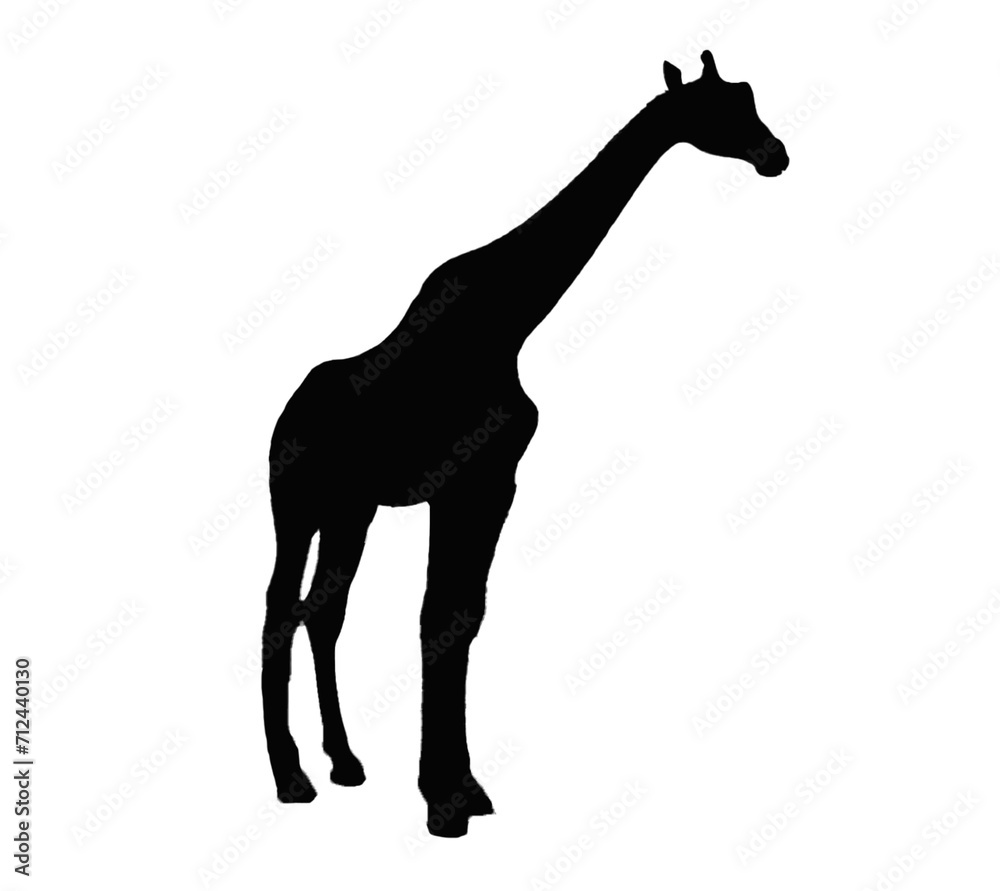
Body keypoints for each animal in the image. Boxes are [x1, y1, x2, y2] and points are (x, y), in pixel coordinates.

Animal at [260, 50, 789, 838]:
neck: (510, 320)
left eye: (748, 97)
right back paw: (291, 778)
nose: (775, 155)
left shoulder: (495, 481)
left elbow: (465, 615)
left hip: (351, 509)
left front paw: (464, 787)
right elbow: (442, 616)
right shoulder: (464, 480)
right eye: (719, 109)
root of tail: (280, 418)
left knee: (323, 612)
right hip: (295, 505)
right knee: (278, 608)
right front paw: (443, 802)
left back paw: (344, 764)